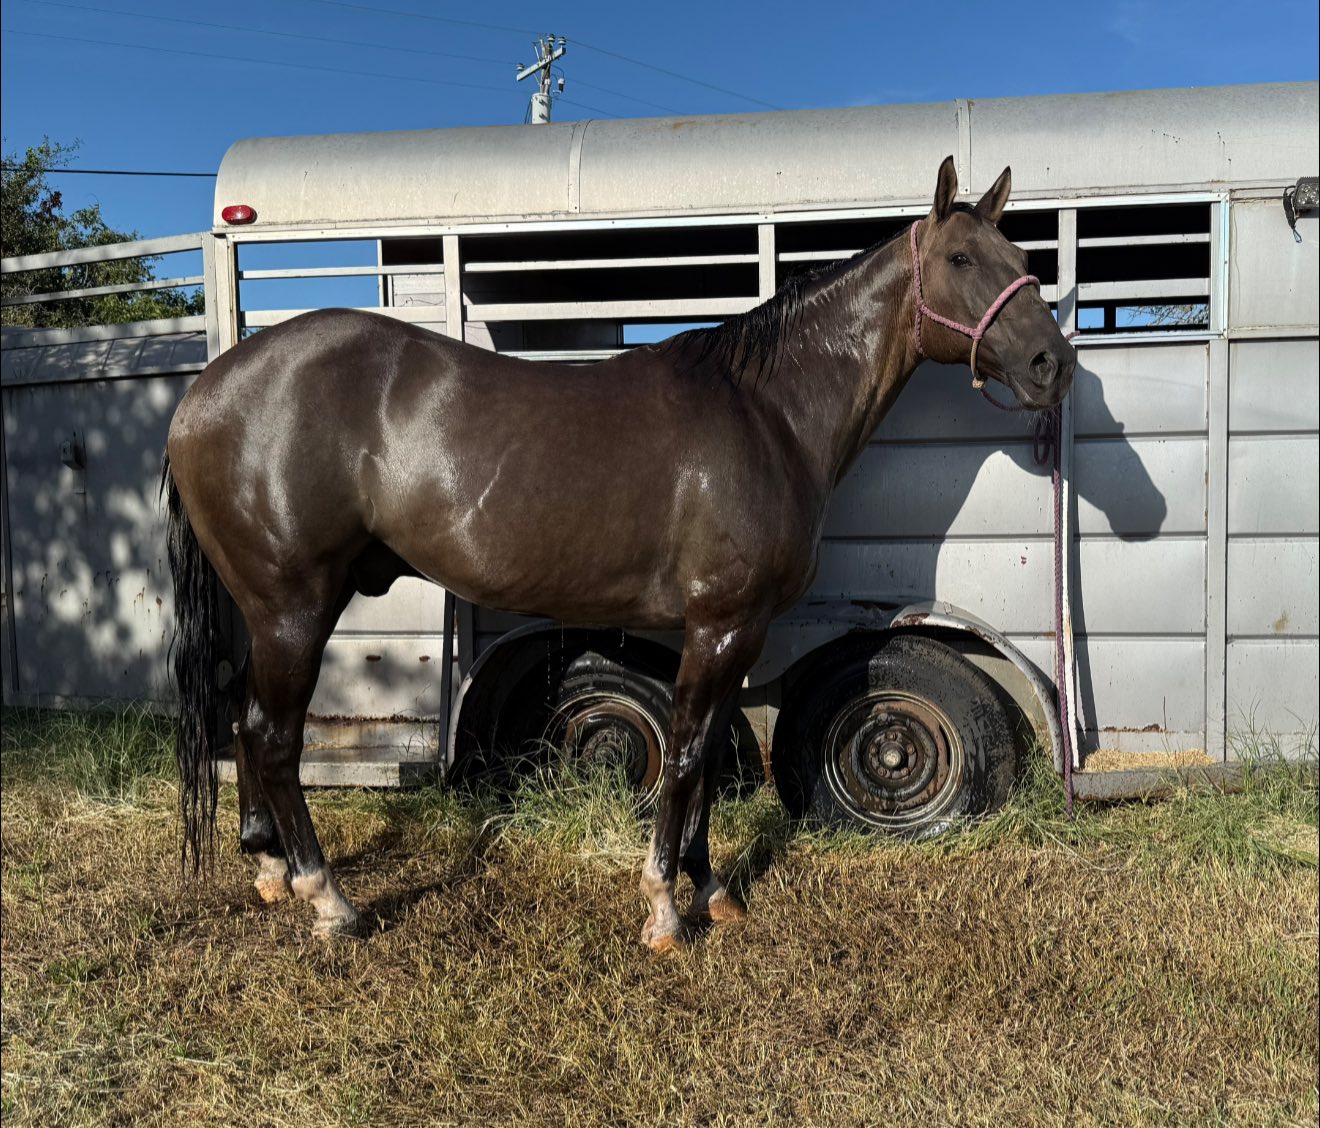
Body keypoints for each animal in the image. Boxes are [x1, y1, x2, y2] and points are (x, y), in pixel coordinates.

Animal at [162, 156, 1074, 951]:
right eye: (962, 258)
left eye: (1025, 259)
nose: (1052, 364)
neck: (766, 411)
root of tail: (205, 391)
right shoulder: (720, 624)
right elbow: (686, 755)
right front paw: (665, 909)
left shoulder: (736, 631)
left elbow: (705, 752)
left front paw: (712, 890)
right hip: (294, 606)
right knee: (272, 735)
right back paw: (330, 901)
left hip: (269, 612)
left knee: (243, 721)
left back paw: (271, 870)